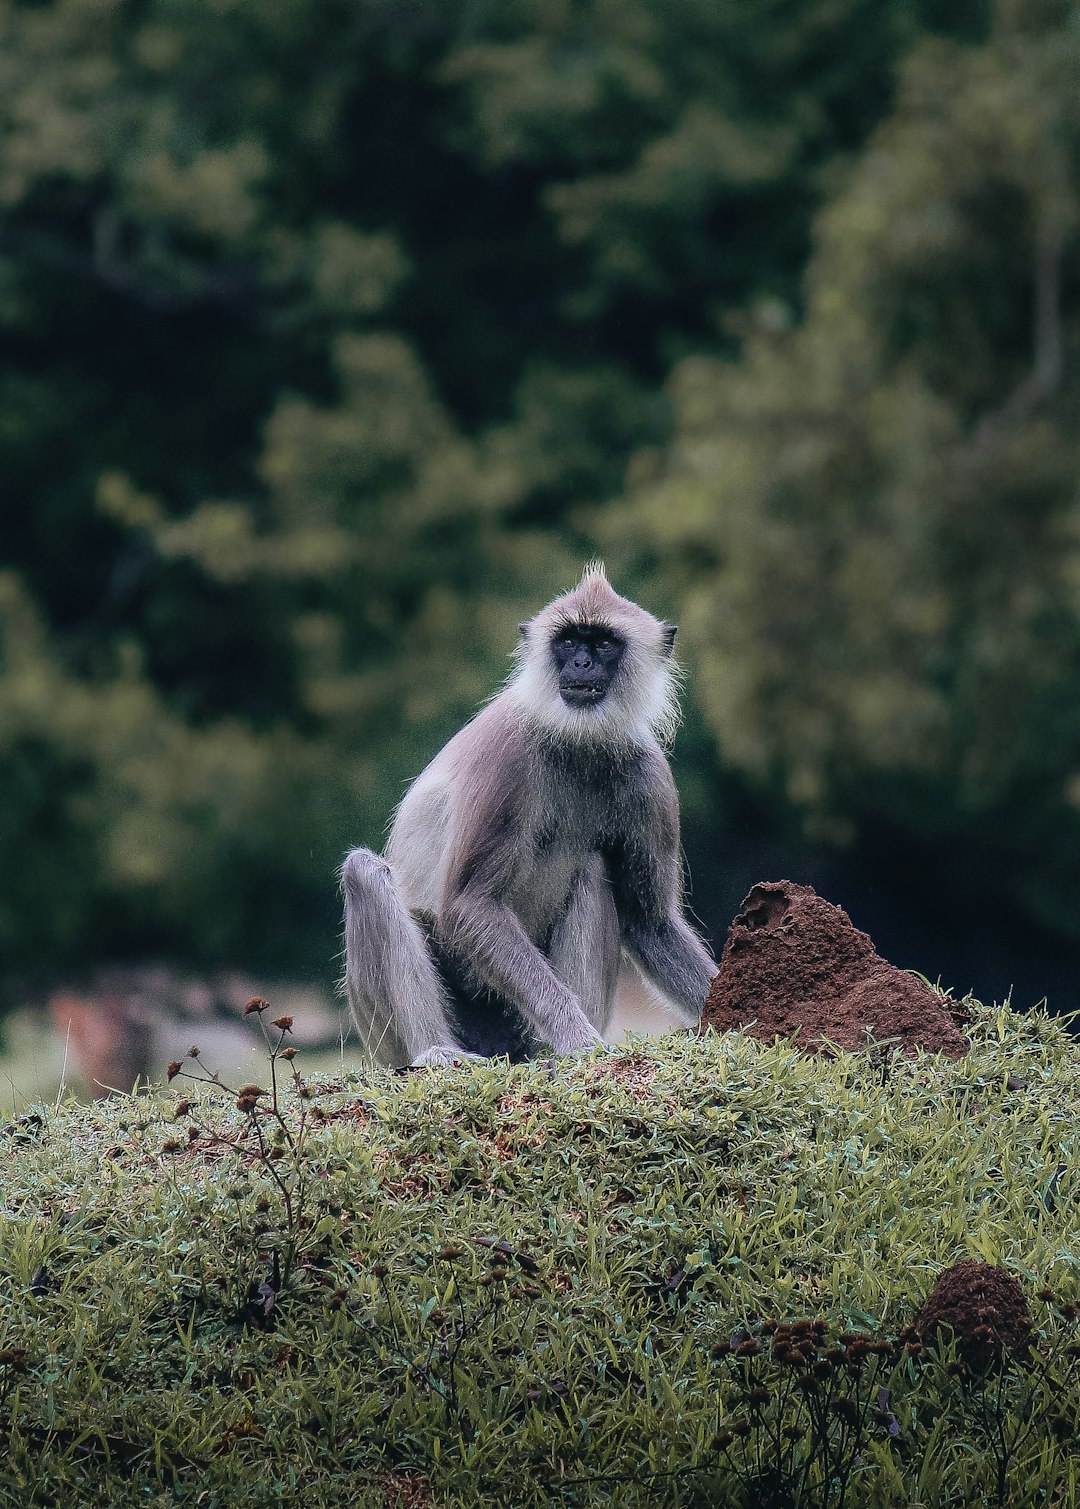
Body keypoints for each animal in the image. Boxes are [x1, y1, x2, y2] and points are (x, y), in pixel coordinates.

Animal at [342, 561, 717, 1068]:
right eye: (568, 641)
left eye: (603, 643)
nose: (580, 664)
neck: (578, 740)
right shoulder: (509, 754)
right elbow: (472, 904)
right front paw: (576, 1036)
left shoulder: (650, 778)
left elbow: (651, 923)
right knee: (364, 872)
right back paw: (436, 1051)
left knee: (593, 866)